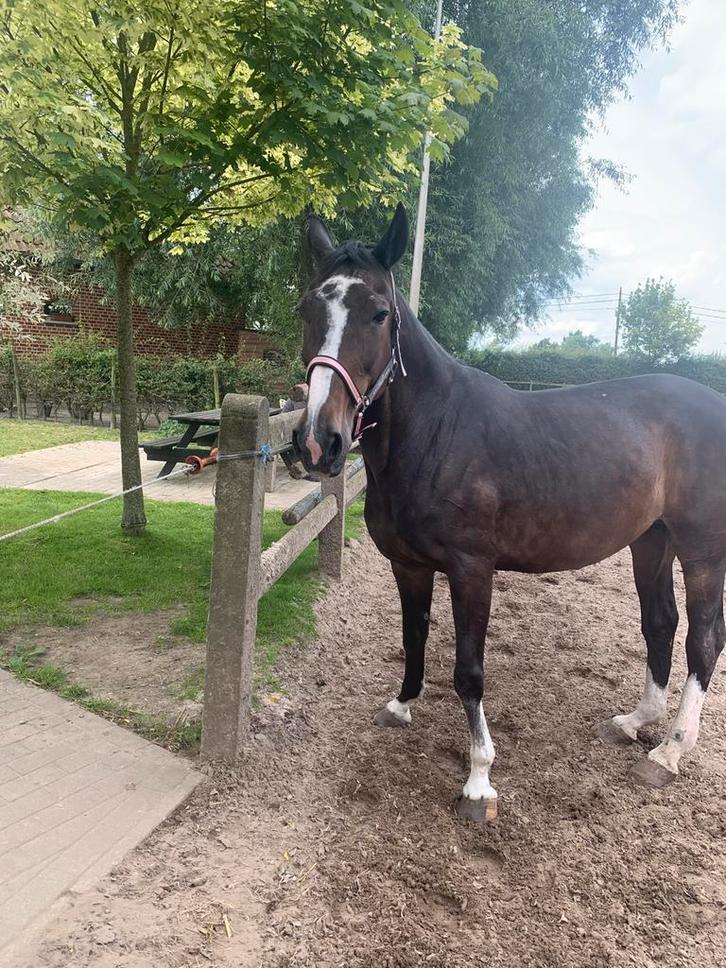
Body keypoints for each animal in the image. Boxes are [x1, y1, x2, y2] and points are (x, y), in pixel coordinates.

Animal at [293, 203, 726, 822]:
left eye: (379, 313)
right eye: (308, 308)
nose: (317, 442)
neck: (437, 432)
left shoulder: (473, 569)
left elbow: (469, 672)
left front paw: (479, 781)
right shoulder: (408, 564)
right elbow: (414, 636)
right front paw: (401, 705)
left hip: (701, 549)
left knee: (704, 640)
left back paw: (668, 753)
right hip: (651, 539)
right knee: (660, 621)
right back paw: (636, 721)